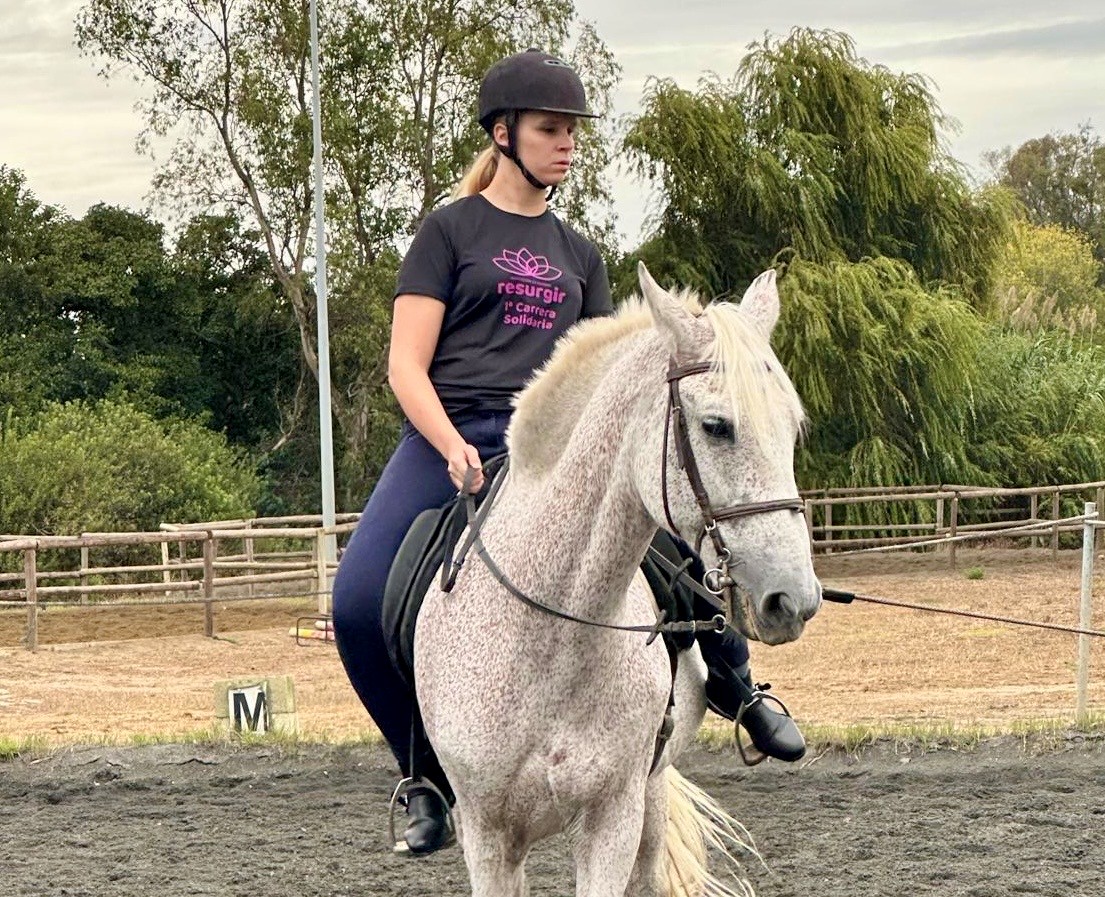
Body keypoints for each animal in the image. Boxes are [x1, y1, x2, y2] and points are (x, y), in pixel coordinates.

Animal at [414, 262, 821, 896]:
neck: (553, 636)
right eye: (716, 426)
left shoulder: (613, 819)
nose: (793, 600)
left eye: (793, 425)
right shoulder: (488, 836)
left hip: (648, 798)